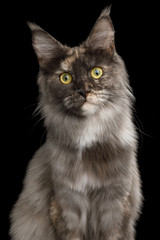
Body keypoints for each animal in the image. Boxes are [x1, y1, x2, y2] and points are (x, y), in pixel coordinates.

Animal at [9, 6, 142, 239]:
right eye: (65, 78)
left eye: (96, 72)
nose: (83, 92)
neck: (87, 133)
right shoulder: (65, 204)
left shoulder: (116, 204)